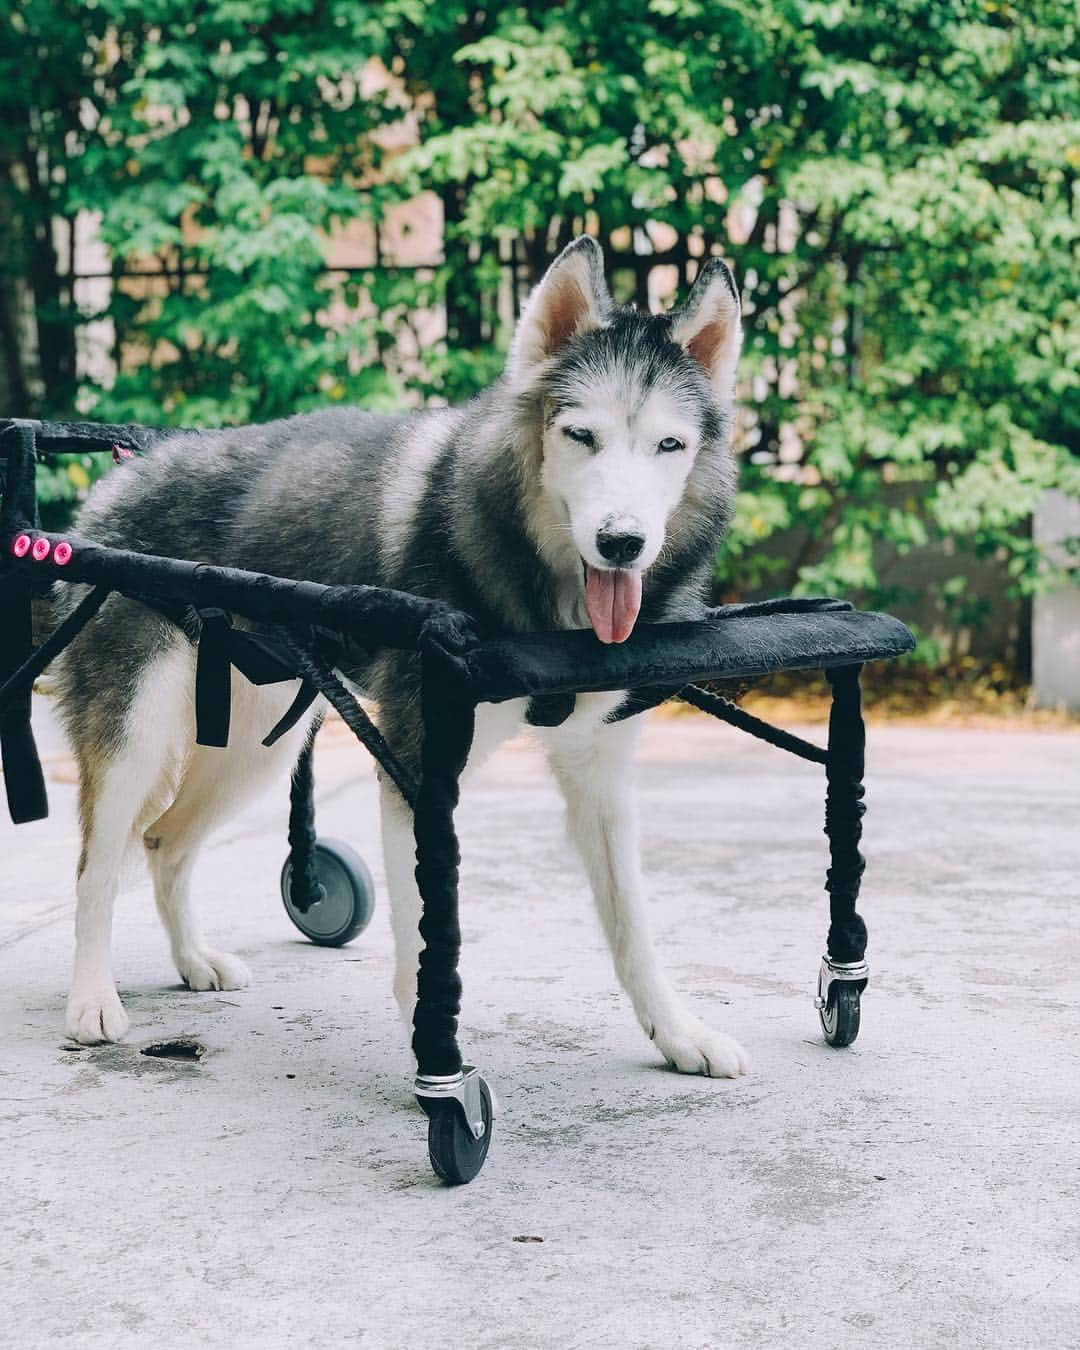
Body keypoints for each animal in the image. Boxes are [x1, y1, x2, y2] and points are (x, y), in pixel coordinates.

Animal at [54, 232, 745, 1074]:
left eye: (669, 445)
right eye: (580, 435)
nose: (622, 542)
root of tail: (124, 470)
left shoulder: (600, 775)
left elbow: (633, 929)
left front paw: (679, 1034)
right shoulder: (417, 770)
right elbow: (423, 941)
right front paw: (438, 1066)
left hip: (258, 748)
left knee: (164, 842)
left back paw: (192, 960)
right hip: (139, 734)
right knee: (95, 868)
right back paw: (91, 999)